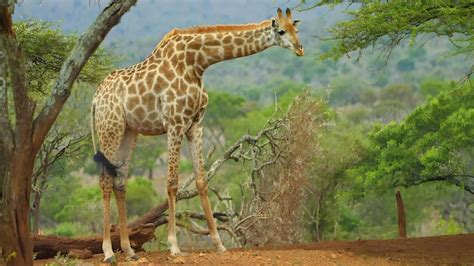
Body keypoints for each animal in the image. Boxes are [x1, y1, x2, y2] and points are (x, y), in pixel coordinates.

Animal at [89, 7, 304, 262]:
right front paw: (173, 245)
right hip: (109, 127)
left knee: (120, 181)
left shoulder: (195, 125)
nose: (300, 48)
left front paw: (219, 243)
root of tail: (95, 99)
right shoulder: (174, 123)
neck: (197, 63)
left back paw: (129, 250)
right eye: (281, 31)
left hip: (128, 131)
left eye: (296, 29)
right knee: (105, 180)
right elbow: (172, 183)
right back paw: (108, 251)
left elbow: (202, 180)